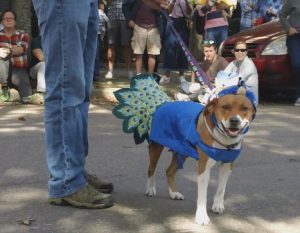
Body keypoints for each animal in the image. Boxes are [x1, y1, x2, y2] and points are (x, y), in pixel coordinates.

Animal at [145, 85, 255, 226]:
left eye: (245, 108)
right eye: (225, 107)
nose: (234, 121)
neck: (224, 139)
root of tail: (166, 103)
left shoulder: (227, 165)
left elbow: (221, 188)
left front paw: (217, 205)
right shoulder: (204, 167)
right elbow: (202, 195)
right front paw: (202, 216)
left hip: (182, 150)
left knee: (169, 171)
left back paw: (174, 193)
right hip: (157, 146)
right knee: (151, 168)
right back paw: (150, 189)